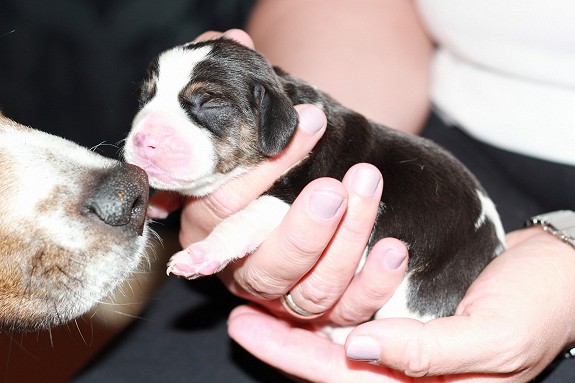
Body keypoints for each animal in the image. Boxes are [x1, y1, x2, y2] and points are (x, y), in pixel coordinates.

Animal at [125, 37, 504, 332]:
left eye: (210, 103)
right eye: (144, 99)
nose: (144, 140)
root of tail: (495, 245)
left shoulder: (296, 193)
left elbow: (241, 221)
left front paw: (199, 255)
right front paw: (158, 202)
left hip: (421, 292)